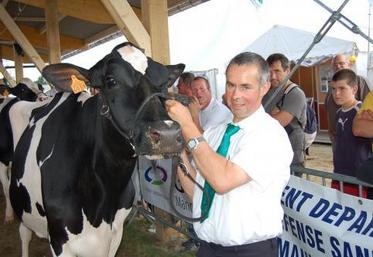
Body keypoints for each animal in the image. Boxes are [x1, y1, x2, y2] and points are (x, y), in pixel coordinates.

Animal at [0, 80, 46, 222]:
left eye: (40, 87)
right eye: (22, 90)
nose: (44, 97)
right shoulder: (1, 161)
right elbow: (5, 187)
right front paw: (9, 214)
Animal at [8, 42, 183, 256]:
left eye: (164, 82)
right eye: (111, 81)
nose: (168, 135)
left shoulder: (115, 234)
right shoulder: (59, 239)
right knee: (24, 234)